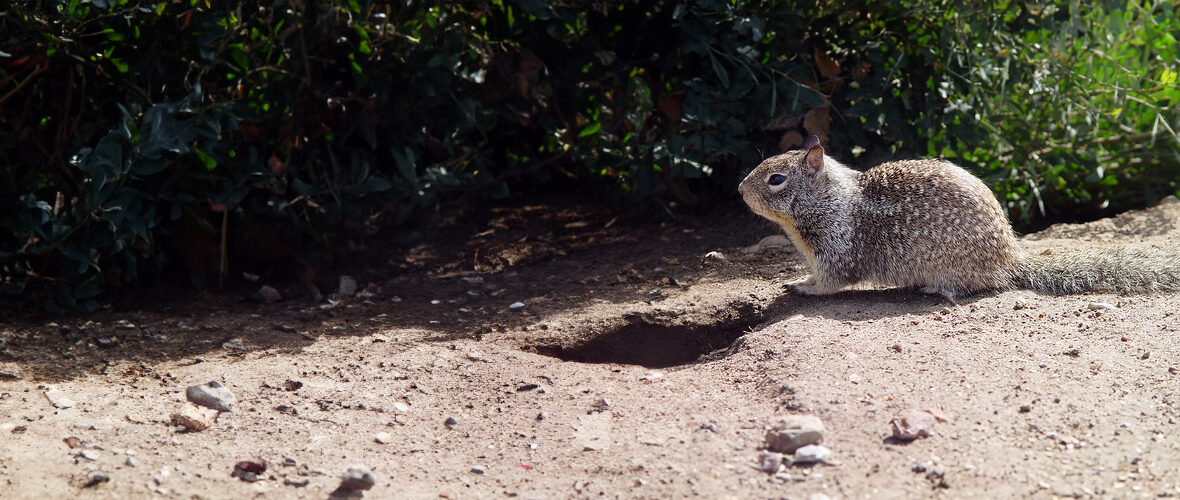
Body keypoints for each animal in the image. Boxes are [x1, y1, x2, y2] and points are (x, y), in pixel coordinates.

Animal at [736, 135, 1180, 298]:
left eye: (776, 179)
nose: (739, 190)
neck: (829, 199)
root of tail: (1011, 258)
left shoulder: (837, 250)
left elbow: (828, 283)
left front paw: (801, 286)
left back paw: (936, 289)